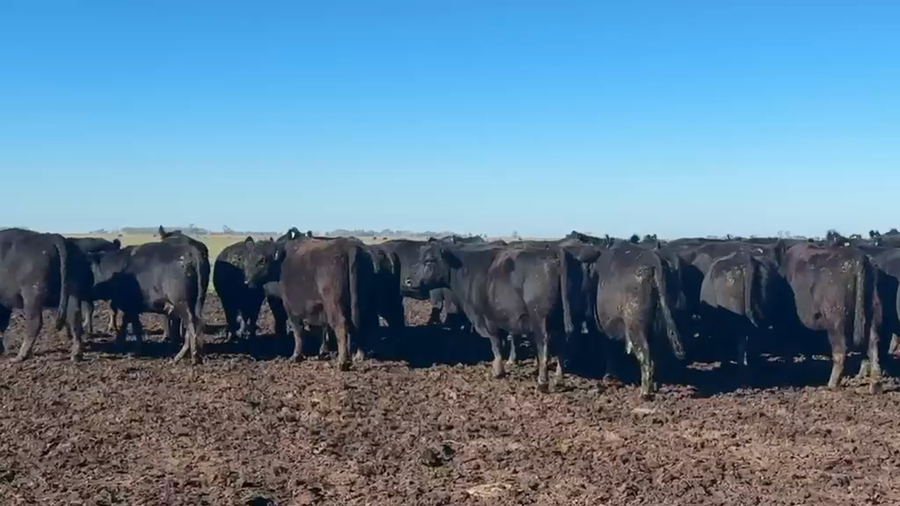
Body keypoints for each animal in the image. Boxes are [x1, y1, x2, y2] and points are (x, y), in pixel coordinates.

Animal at [0, 228, 92, 361]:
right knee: (75, 317)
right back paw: (76, 354)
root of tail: (53, 237)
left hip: (32, 295)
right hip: (73, 293)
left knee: (35, 323)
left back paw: (20, 356)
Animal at [279, 238, 377, 370]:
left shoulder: (291, 309)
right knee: (359, 323)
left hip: (333, 303)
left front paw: (295, 355)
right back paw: (358, 356)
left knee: (340, 325)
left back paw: (342, 362)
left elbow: (298, 332)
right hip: (360, 301)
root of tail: (347, 245)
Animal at [405, 242, 581, 392]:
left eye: (429, 260)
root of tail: (552, 251)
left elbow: (495, 343)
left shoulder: (487, 318)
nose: (408, 280)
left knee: (543, 343)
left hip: (540, 317)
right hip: (563, 317)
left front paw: (498, 371)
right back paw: (558, 380)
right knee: (563, 343)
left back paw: (542, 382)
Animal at [589, 245, 685, 397]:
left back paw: (644, 392)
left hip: (635, 323)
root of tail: (653, 259)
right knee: (654, 355)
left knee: (645, 353)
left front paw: (609, 376)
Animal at [776, 242, 882, 393]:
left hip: (835, 320)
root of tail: (858, 259)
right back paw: (875, 383)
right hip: (873, 312)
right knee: (873, 344)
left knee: (840, 350)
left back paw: (832, 383)